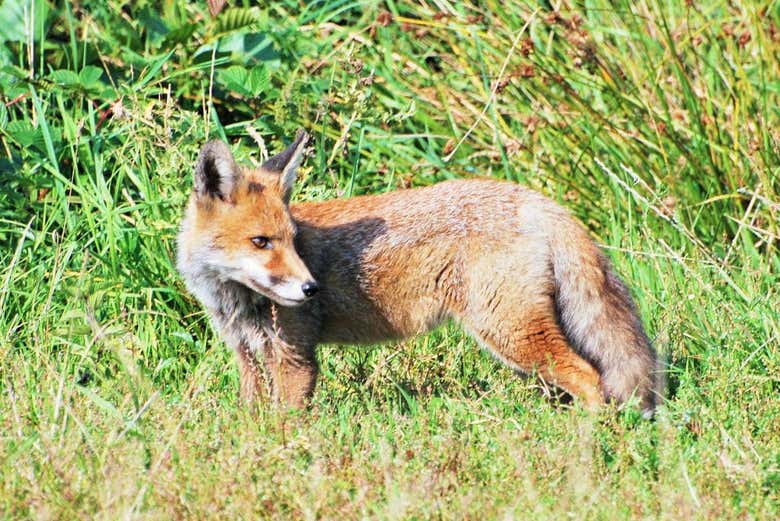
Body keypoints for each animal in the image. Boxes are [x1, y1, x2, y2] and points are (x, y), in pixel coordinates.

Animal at [176, 131, 658, 414]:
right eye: (262, 242)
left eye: (294, 241)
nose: (311, 288)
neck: (235, 301)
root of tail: (537, 200)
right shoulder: (248, 357)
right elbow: (250, 421)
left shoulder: (295, 359)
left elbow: (284, 427)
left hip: (511, 332)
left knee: (590, 377)